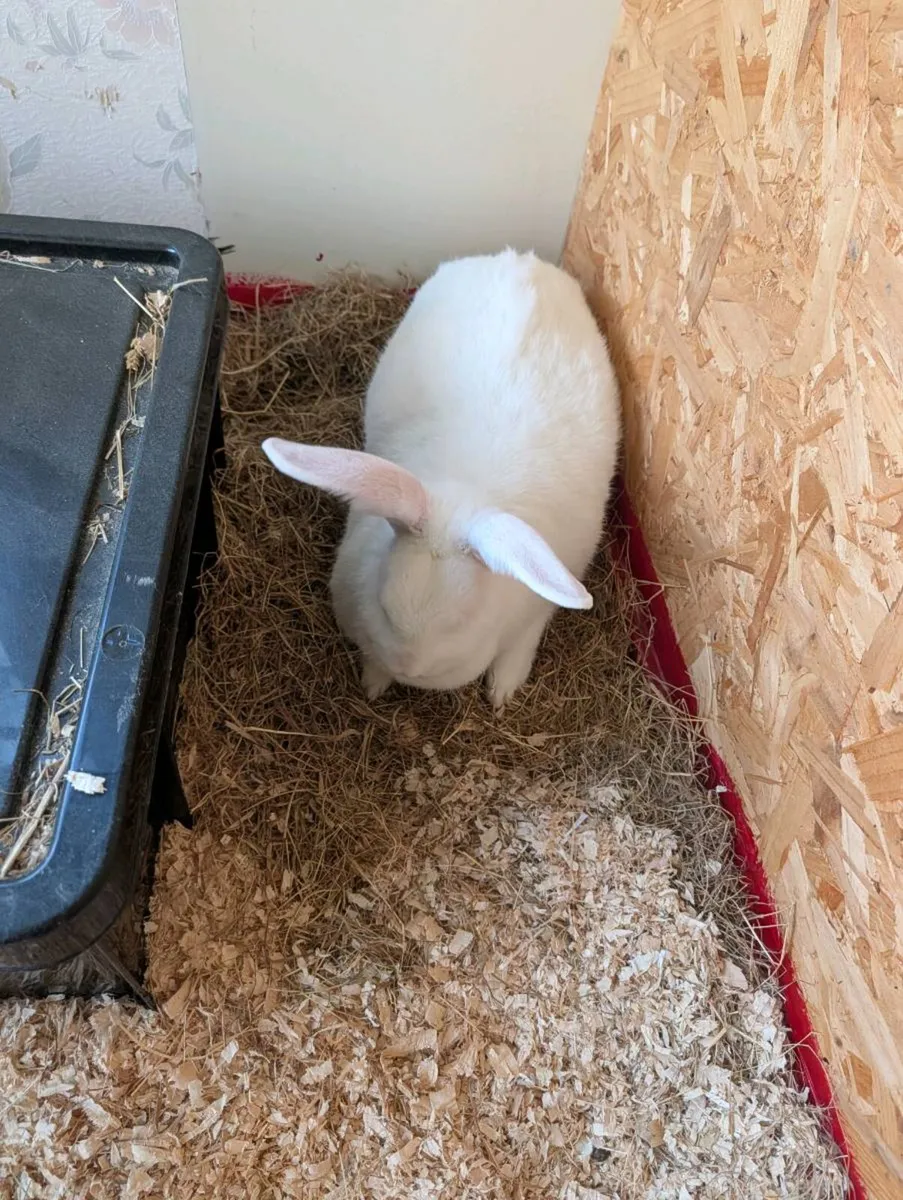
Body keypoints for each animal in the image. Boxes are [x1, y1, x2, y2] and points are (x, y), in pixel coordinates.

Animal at [262, 248, 621, 709]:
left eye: (458, 622)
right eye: (384, 604)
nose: (408, 668)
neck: (462, 491)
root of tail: (518, 259)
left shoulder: (532, 618)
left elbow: (517, 652)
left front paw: (502, 694)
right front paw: (374, 684)